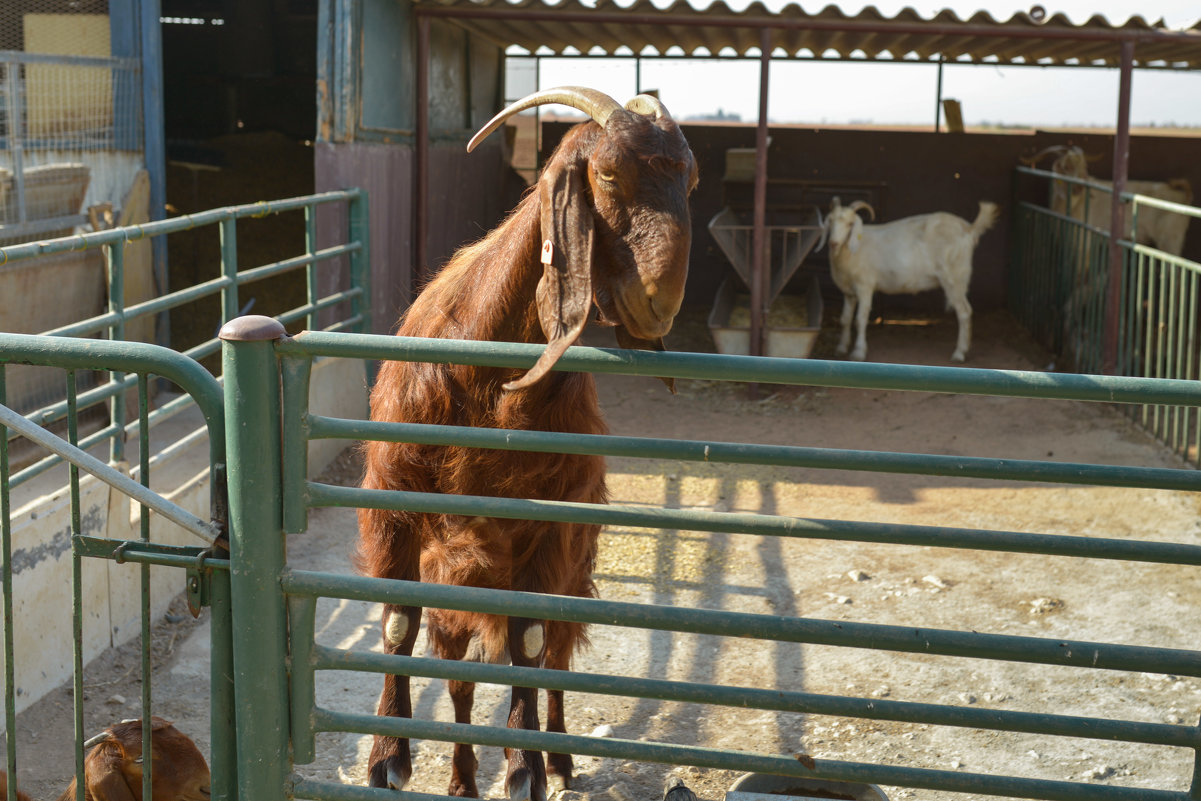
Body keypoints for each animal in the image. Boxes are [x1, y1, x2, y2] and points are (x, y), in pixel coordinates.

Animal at [355, 87, 696, 801]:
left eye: (691, 180)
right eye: (608, 174)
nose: (661, 303)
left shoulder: (547, 526)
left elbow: (529, 644)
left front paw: (524, 768)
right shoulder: (394, 500)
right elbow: (399, 624)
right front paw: (387, 757)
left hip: (573, 555)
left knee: (556, 649)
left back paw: (556, 757)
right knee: (459, 663)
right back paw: (463, 774)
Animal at [821, 196, 999, 362]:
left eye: (850, 223)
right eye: (830, 220)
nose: (833, 243)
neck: (853, 249)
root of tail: (968, 228)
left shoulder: (865, 285)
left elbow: (860, 319)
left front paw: (858, 352)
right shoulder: (848, 292)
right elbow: (845, 319)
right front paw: (841, 348)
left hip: (954, 278)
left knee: (964, 312)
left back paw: (959, 353)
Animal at [1028, 145, 1196, 255]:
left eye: (1085, 167)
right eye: (1066, 167)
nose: (1080, 187)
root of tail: (1182, 194)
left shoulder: (1084, 244)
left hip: (1170, 241)